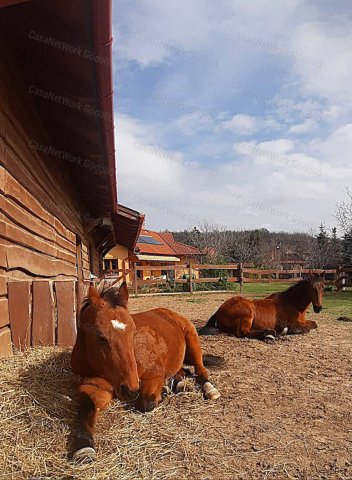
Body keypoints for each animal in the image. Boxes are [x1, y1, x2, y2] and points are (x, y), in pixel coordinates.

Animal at [70, 284, 221, 464]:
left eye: (133, 332)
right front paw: (84, 447)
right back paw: (178, 384)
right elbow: (84, 411)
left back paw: (208, 389)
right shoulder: (94, 387)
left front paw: (162, 392)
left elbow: (145, 402)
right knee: (182, 371)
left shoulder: (153, 375)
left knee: (200, 370)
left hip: (192, 340)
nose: (130, 389)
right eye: (101, 336)